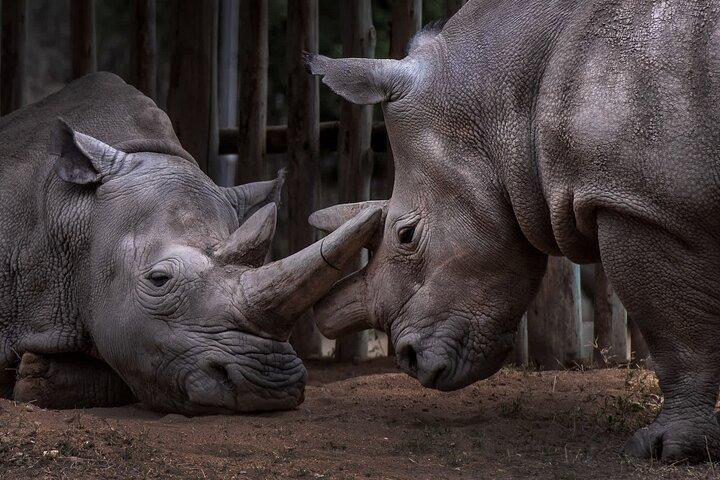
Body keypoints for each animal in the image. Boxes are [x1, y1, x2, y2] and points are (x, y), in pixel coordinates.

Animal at [306, 0, 720, 462]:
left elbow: (676, 333)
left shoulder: (641, 204)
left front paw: (667, 448)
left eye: (406, 236)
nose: (409, 360)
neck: (503, 97)